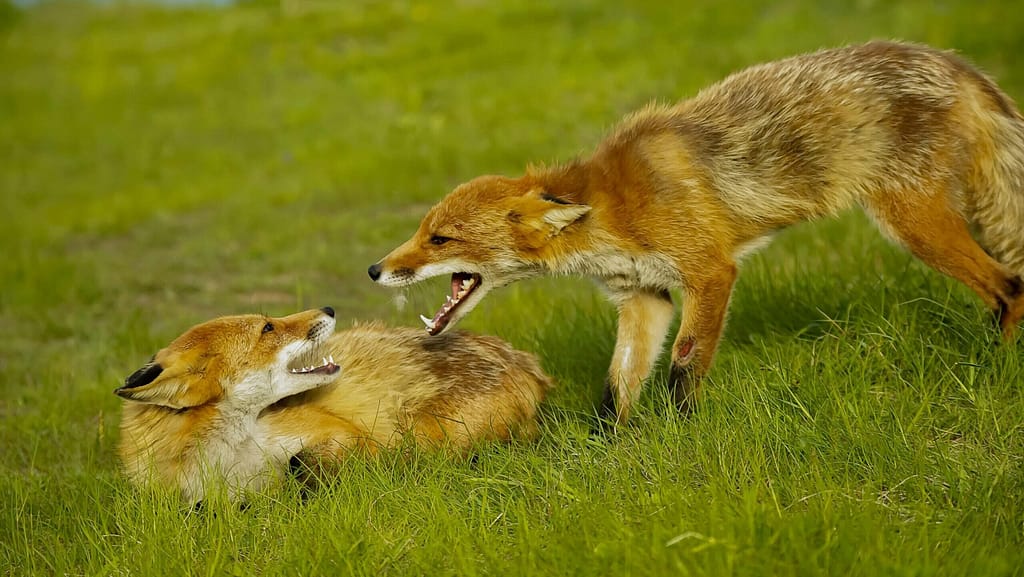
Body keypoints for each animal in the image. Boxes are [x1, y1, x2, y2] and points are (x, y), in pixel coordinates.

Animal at [115, 307, 551, 503]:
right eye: (268, 328)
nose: (329, 309)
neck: (233, 459)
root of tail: (527, 362)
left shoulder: (340, 432)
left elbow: (306, 464)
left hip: (435, 432)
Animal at [367, 41, 1024, 425]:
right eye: (422, 231)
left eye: (441, 240)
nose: (376, 270)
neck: (614, 215)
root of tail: (953, 61)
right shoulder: (645, 295)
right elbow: (617, 387)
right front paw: (611, 449)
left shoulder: (710, 272)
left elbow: (684, 366)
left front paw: (683, 433)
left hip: (913, 222)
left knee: (1009, 286)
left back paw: (1000, 364)